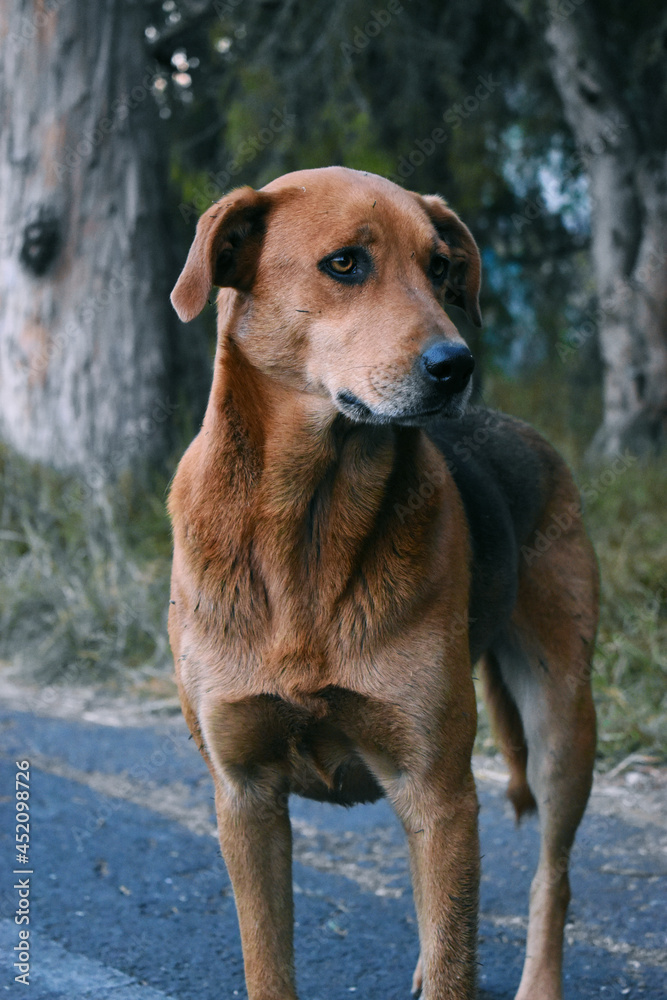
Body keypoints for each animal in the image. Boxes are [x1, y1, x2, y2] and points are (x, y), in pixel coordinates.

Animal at [167, 166, 600, 1000]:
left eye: (439, 268)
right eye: (344, 264)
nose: (456, 366)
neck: (306, 521)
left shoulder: (436, 790)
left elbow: (457, 953)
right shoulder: (244, 796)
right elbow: (268, 961)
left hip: (561, 723)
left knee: (552, 878)